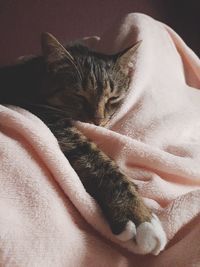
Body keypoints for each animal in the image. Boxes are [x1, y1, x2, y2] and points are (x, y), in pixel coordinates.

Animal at [0, 32, 166, 252]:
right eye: (78, 95)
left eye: (113, 98)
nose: (98, 120)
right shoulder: (52, 121)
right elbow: (97, 158)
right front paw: (138, 215)